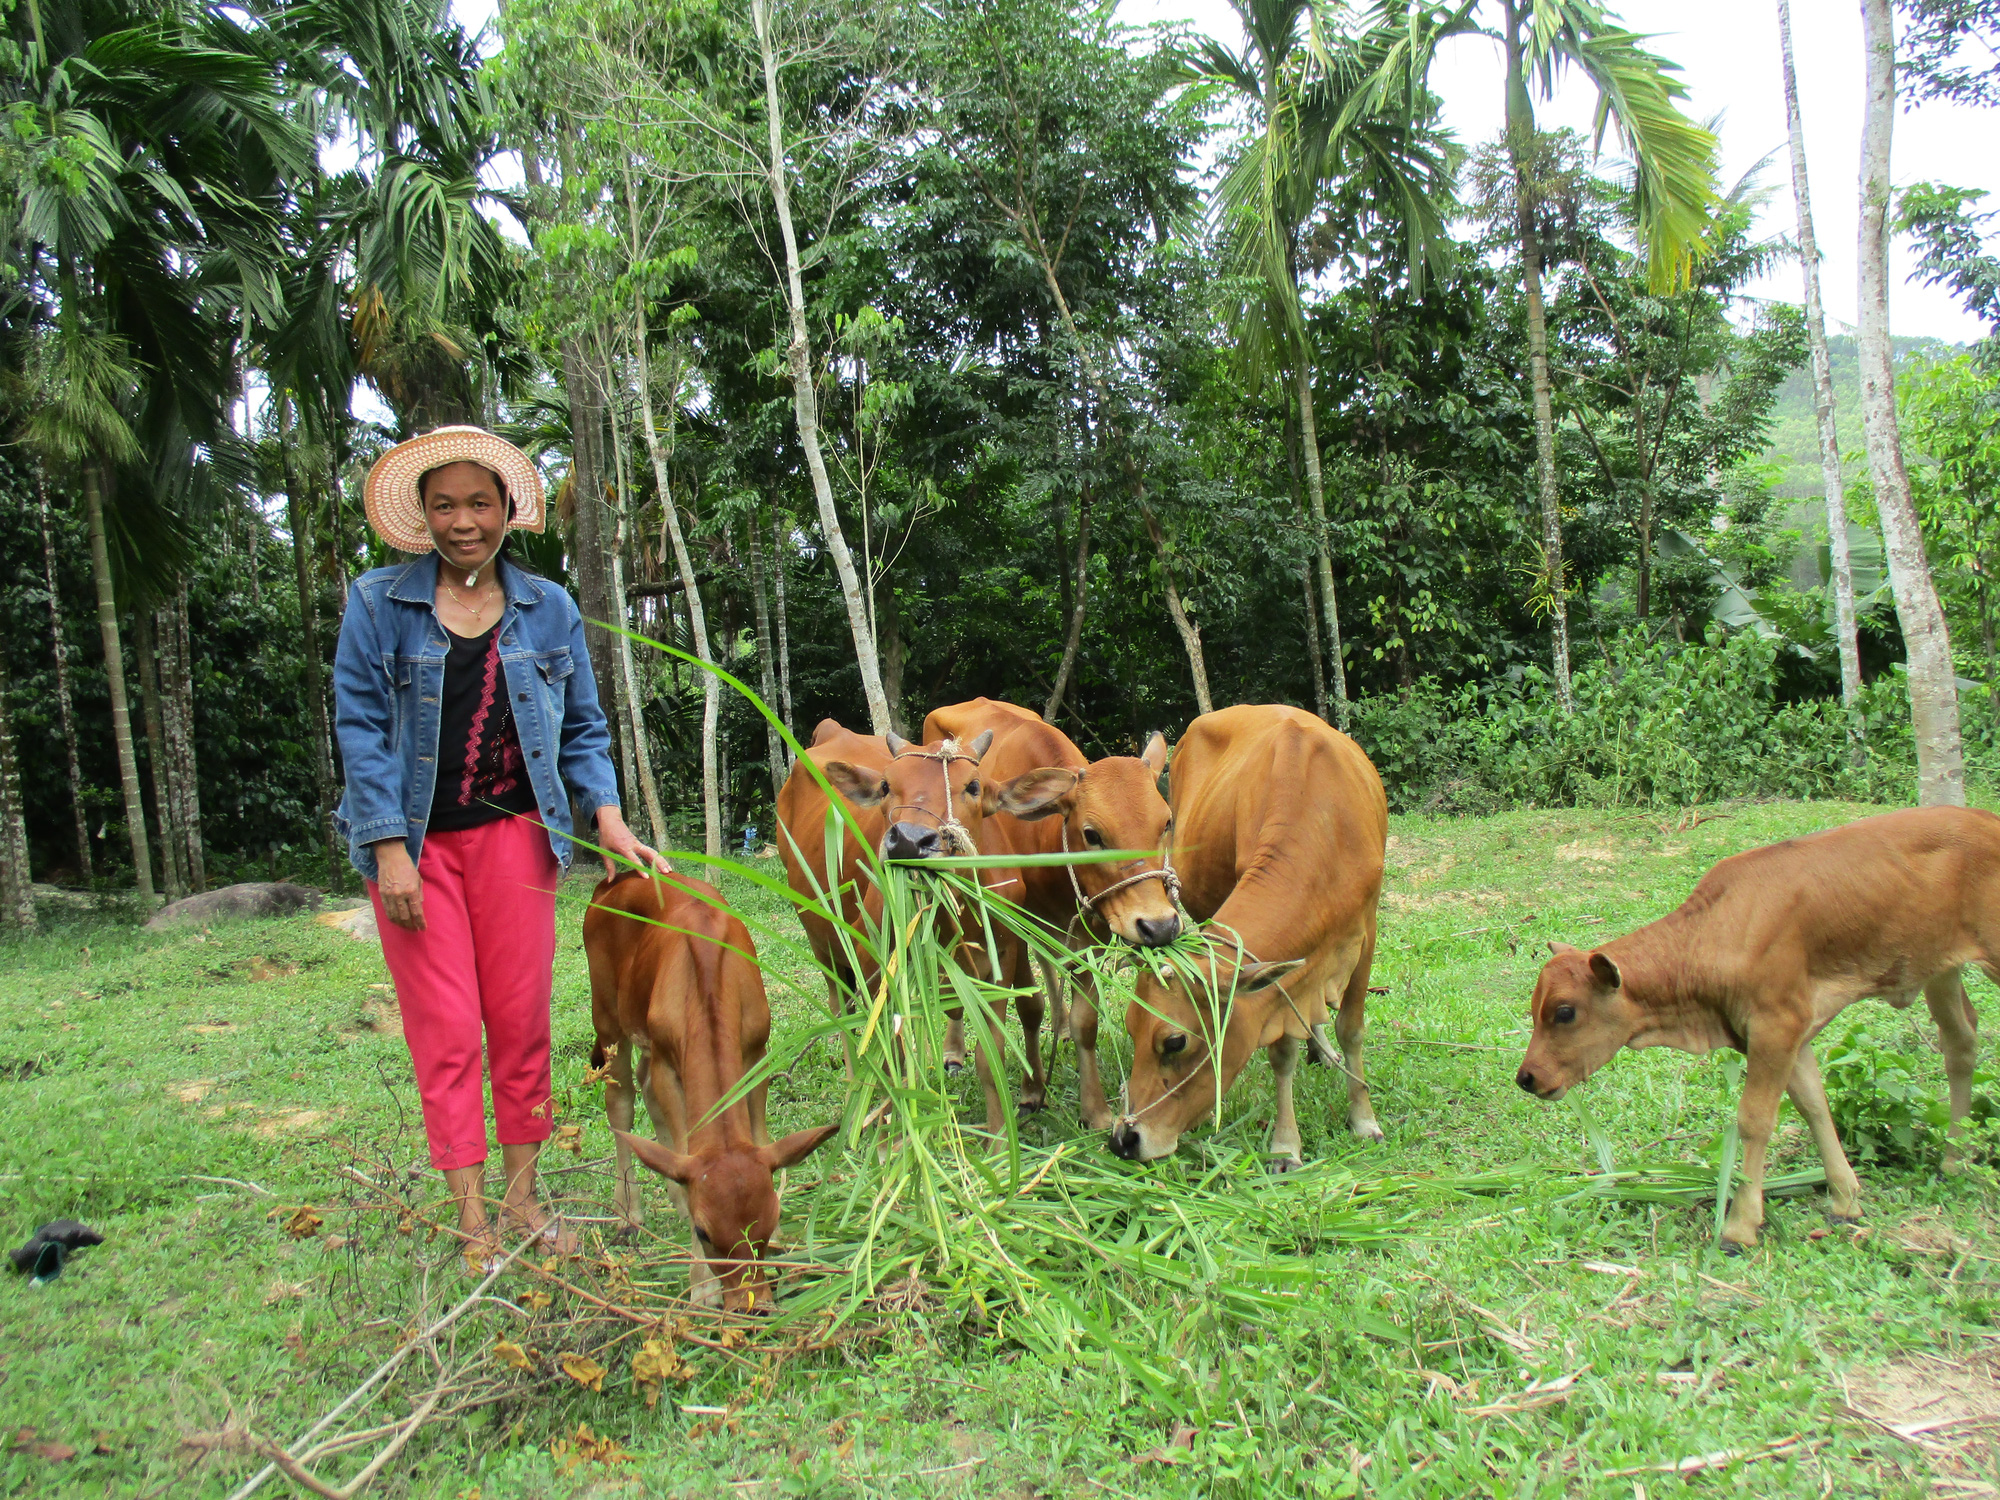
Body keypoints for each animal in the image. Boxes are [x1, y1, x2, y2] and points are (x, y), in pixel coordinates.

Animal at [580, 876, 836, 1312]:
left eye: (771, 1218)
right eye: (704, 1233)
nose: (754, 1305)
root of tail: (611, 882)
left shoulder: (755, 1052)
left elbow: (757, 1134)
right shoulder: (669, 1064)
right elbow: (685, 1142)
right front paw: (701, 1286)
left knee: (643, 1088)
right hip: (608, 1017)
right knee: (621, 1102)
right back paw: (629, 1212)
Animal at [772, 724, 1072, 1136]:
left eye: (973, 786)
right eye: (886, 786)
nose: (910, 840)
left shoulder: (1003, 957)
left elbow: (990, 1053)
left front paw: (998, 1137)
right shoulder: (875, 963)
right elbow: (893, 1056)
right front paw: (895, 1132)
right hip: (821, 939)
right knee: (842, 1011)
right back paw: (853, 1098)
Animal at [1512, 812, 2000, 1256]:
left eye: (1565, 1012)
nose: (1527, 1077)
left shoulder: (1776, 1024)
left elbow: (1755, 1119)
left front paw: (1740, 1225)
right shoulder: (1789, 1035)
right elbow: (1814, 1107)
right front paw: (1845, 1199)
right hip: (1939, 968)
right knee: (1960, 1043)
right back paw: (1954, 1159)